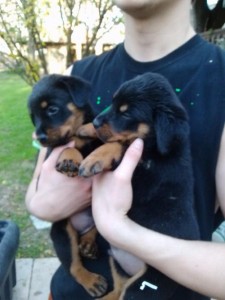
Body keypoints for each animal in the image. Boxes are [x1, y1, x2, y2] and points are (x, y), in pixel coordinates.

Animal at [27, 74, 108, 298]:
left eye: (52, 109)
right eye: (33, 117)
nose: (39, 138)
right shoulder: (49, 157)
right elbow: (64, 146)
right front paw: (70, 158)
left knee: (94, 229)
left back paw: (88, 244)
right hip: (62, 233)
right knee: (73, 266)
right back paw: (91, 281)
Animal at [79, 72, 200, 300]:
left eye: (126, 113)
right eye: (113, 103)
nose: (96, 121)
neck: (159, 146)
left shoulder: (146, 178)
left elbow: (122, 144)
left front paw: (95, 158)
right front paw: (86, 127)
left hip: (145, 287)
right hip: (116, 262)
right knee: (117, 288)